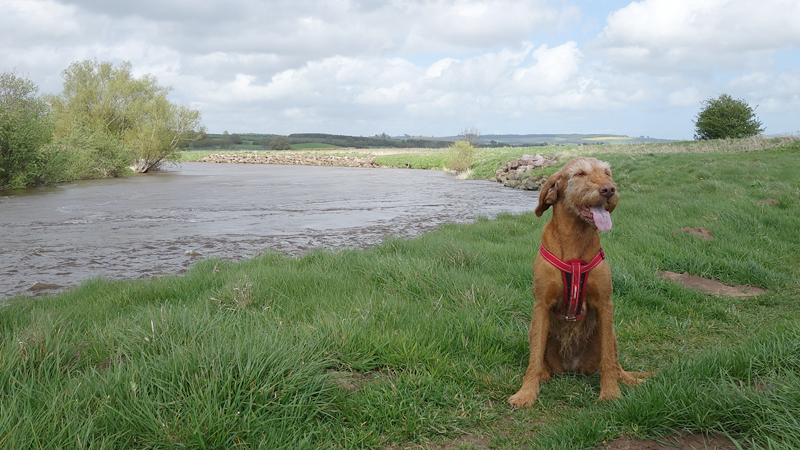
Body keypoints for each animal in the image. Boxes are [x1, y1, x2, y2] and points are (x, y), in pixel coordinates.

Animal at [508, 157, 647, 408]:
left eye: (607, 173)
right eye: (580, 174)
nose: (608, 189)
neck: (575, 239)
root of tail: (571, 369)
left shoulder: (605, 303)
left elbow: (608, 360)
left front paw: (610, 393)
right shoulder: (540, 305)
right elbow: (534, 358)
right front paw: (526, 393)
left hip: (611, 335)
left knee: (615, 363)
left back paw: (630, 380)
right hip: (534, 330)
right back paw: (544, 375)